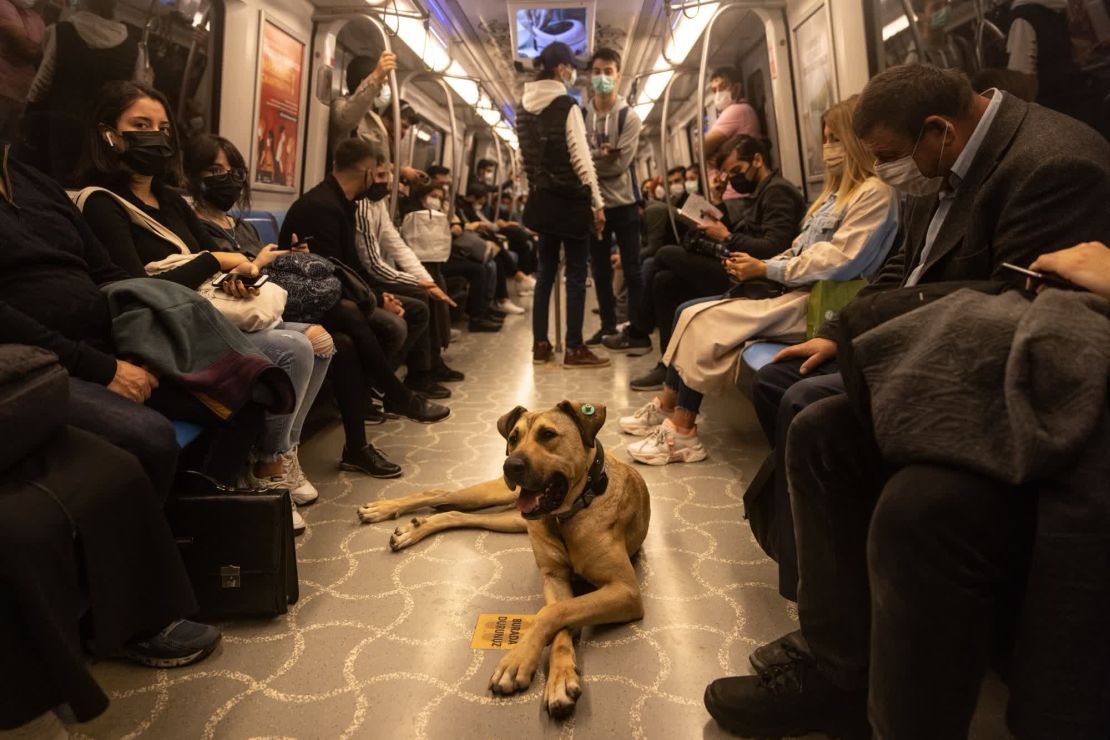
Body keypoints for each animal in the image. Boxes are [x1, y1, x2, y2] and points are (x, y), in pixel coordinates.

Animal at [355, 399, 648, 718]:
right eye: (513, 438)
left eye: (548, 434)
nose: (511, 465)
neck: (567, 514)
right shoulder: (555, 578)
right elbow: (554, 614)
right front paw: (530, 665)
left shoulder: (625, 591)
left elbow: (556, 614)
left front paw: (540, 671)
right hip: (494, 495)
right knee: (439, 493)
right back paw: (384, 509)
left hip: (511, 519)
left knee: (455, 513)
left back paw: (415, 527)